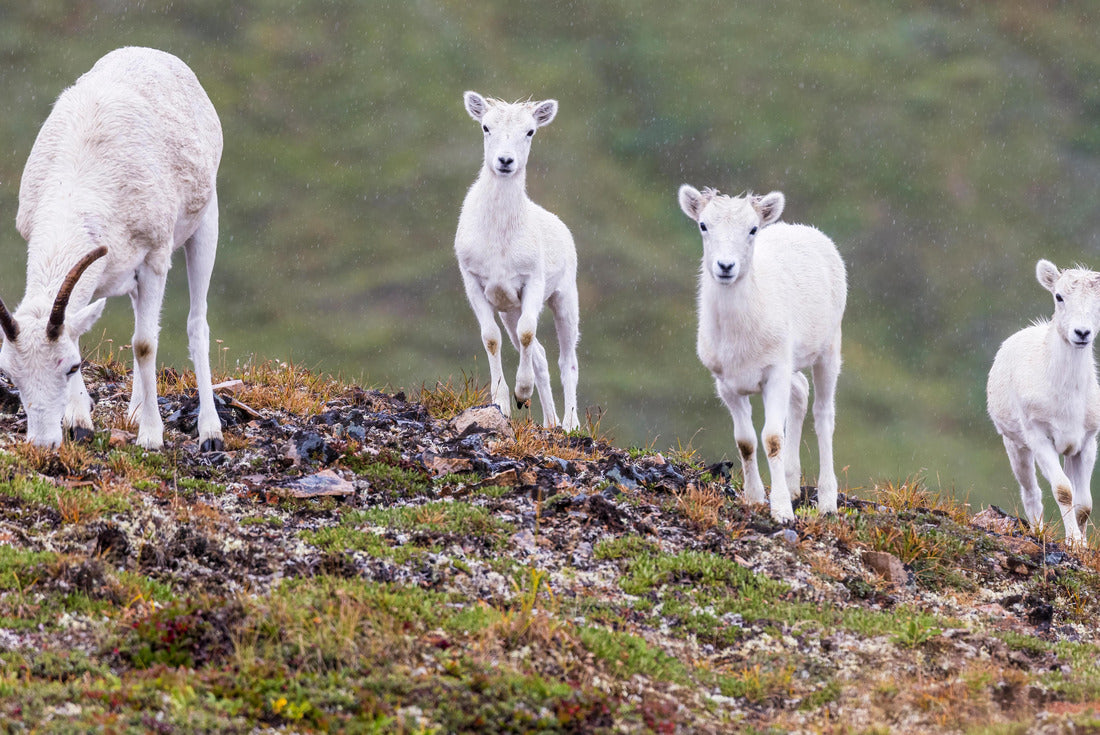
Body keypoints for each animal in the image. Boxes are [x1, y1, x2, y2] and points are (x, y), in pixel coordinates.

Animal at [0, 46, 224, 451]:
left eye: (71, 367)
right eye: (10, 374)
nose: (43, 443)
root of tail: (155, 53)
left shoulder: (154, 261)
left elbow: (145, 344)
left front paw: (151, 438)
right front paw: (80, 423)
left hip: (205, 225)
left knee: (196, 322)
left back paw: (210, 431)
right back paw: (134, 412)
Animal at [454, 91, 580, 431]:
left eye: (530, 131)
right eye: (486, 127)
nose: (505, 161)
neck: (499, 237)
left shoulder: (532, 282)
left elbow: (527, 333)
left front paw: (522, 393)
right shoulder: (475, 284)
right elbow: (491, 339)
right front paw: (504, 403)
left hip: (564, 299)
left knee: (567, 360)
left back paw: (570, 424)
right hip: (510, 309)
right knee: (539, 354)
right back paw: (549, 422)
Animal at [679, 185, 847, 521]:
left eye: (753, 229)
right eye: (703, 225)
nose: (726, 267)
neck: (738, 336)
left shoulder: (774, 374)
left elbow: (772, 439)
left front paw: (781, 510)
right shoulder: (727, 386)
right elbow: (745, 442)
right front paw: (755, 498)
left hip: (828, 352)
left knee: (824, 415)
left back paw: (826, 502)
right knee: (801, 393)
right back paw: (794, 486)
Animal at [987, 260, 1100, 543]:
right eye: (1059, 296)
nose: (1082, 333)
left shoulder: (1086, 443)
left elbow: (1084, 503)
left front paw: (1083, 543)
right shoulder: (1039, 438)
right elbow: (1063, 491)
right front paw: (1074, 543)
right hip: (1016, 447)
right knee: (1032, 494)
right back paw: (1038, 530)